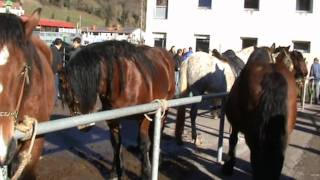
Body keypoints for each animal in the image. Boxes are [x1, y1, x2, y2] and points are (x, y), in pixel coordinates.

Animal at [59, 40, 175, 179]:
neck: (123, 84)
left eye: (73, 94)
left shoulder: (144, 115)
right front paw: (115, 172)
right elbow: (116, 144)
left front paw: (146, 172)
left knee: (159, 130)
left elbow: (144, 144)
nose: (84, 126)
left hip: (165, 108)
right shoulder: (112, 118)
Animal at [222, 44, 298, 179]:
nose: (298, 73)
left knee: (256, 155)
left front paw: (229, 165)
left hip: (253, 135)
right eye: (288, 60)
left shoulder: (235, 125)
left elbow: (233, 140)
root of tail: (273, 76)